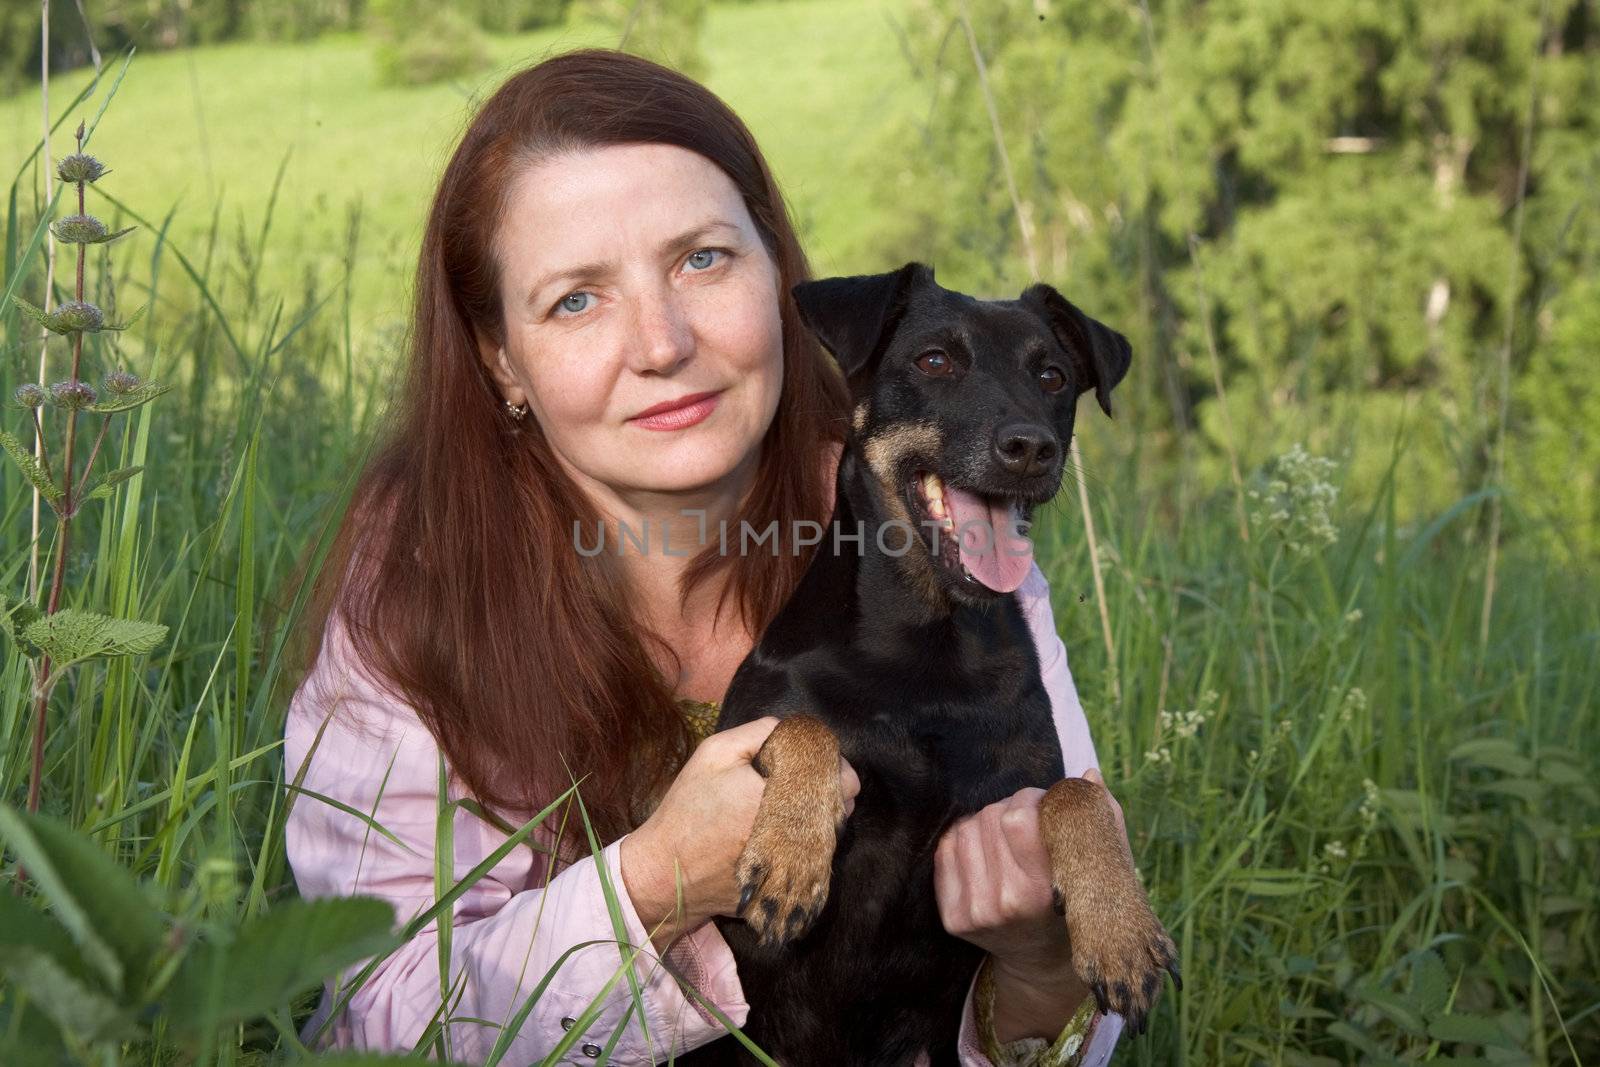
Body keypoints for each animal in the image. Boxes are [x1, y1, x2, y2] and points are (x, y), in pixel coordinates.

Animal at [675, 260, 1177, 1067]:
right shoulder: (751, 740)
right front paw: (790, 852)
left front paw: (1120, 928)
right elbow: (806, 726)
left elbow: (1080, 793)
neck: (928, 646)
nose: (1031, 447)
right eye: (935, 361)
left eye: (1053, 375)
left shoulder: (1015, 792)